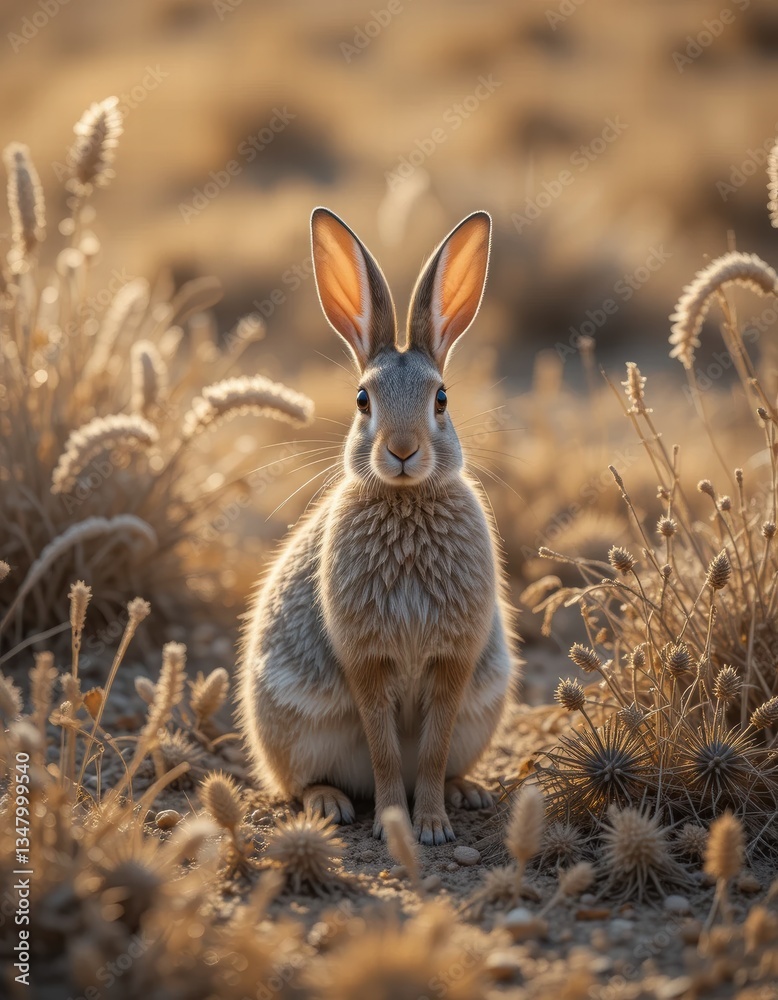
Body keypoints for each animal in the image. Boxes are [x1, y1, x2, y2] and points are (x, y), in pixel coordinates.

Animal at [238, 207, 518, 844]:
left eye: (442, 399)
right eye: (363, 399)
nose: (403, 451)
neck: (405, 500)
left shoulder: (454, 659)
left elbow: (431, 750)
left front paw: (433, 825)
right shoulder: (365, 658)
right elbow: (386, 749)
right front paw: (396, 824)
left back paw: (467, 792)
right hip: (294, 732)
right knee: (297, 783)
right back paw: (329, 804)